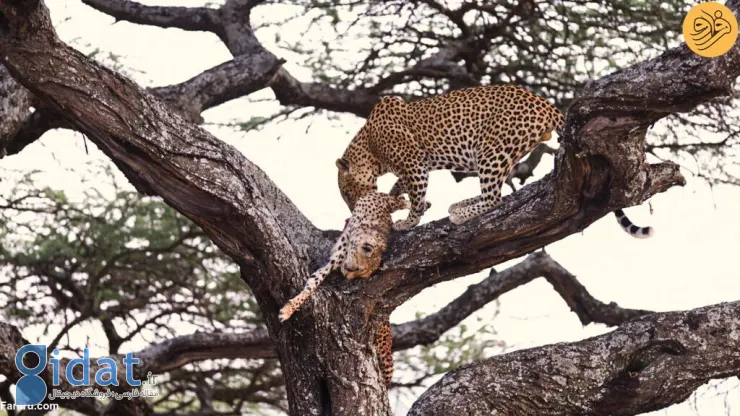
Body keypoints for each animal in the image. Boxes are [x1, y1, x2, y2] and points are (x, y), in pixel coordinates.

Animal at [278, 193, 416, 386]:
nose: (348, 273)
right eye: (356, 269)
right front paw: (289, 309)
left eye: (358, 273)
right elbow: (311, 285)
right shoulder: (332, 261)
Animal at [336, 83, 652, 237]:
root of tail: (544, 103)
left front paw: (408, 221)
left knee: (495, 199)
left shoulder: (414, 163)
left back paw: (461, 212)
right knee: (494, 194)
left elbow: (416, 194)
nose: (352, 210)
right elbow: (403, 187)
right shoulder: (415, 166)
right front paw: (397, 199)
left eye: (347, 194)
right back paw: (459, 205)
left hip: (491, 149)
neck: (368, 146)